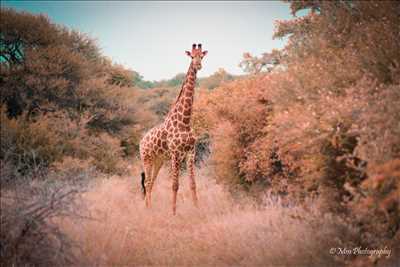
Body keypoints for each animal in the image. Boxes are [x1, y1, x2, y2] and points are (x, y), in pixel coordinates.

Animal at [139, 44, 208, 216]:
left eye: (202, 56)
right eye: (192, 56)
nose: (198, 65)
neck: (185, 121)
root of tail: (141, 141)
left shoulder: (191, 152)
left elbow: (192, 184)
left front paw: (197, 209)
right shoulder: (175, 153)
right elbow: (175, 185)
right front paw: (173, 212)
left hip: (158, 160)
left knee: (151, 182)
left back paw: (148, 207)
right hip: (146, 159)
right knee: (147, 182)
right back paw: (147, 209)